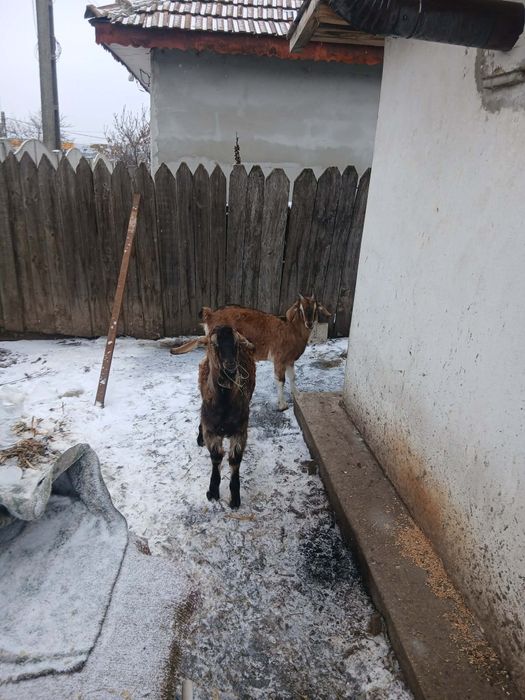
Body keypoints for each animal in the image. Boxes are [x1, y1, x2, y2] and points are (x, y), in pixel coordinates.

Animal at [172, 295, 331, 411]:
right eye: (301, 309)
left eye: (315, 308)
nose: (309, 324)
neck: (291, 330)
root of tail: (210, 314)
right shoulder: (279, 358)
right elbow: (280, 380)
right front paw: (282, 405)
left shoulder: (289, 360)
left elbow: (293, 377)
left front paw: (297, 395)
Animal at [197, 325, 256, 509]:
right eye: (214, 343)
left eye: (236, 343)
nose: (231, 365)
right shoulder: (211, 430)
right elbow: (216, 457)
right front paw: (213, 492)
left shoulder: (240, 430)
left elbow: (235, 459)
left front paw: (235, 498)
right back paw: (199, 438)